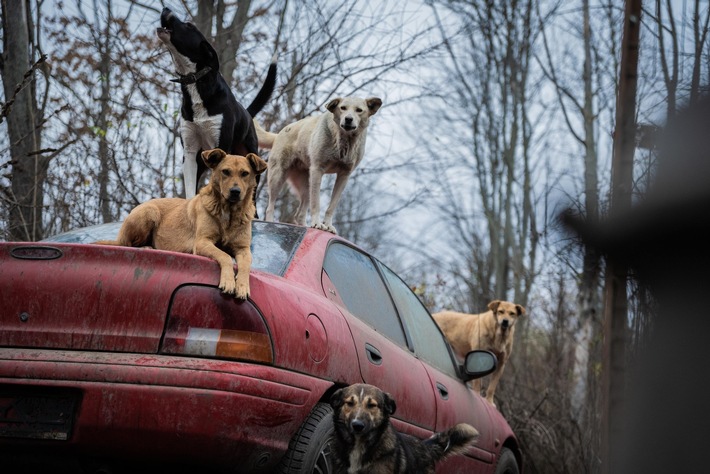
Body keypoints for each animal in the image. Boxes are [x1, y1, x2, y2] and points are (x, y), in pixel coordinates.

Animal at [94, 148, 268, 300]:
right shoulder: (202, 242)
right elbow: (224, 256)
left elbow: (245, 265)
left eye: (245, 174)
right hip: (149, 212)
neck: (229, 213)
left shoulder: (243, 249)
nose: (235, 192)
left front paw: (243, 286)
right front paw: (228, 281)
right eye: (225, 172)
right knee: (128, 244)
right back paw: (146, 247)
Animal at [157, 6, 276, 207]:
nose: (166, 8)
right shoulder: (190, 152)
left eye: (189, 26)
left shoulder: (221, 145)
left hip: (252, 158)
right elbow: (190, 190)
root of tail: (246, 113)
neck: (196, 83)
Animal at [258, 96, 384, 233]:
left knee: (299, 214)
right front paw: (317, 223)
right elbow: (316, 203)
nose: (348, 119)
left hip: (306, 185)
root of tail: (278, 134)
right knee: (270, 206)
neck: (344, 140)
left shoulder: (344, 175)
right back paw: (271, 222)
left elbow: (332, 206)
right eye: (343, 108)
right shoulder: (318, 170)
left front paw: (328, 225)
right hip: (278, 177)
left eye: (359, 110)